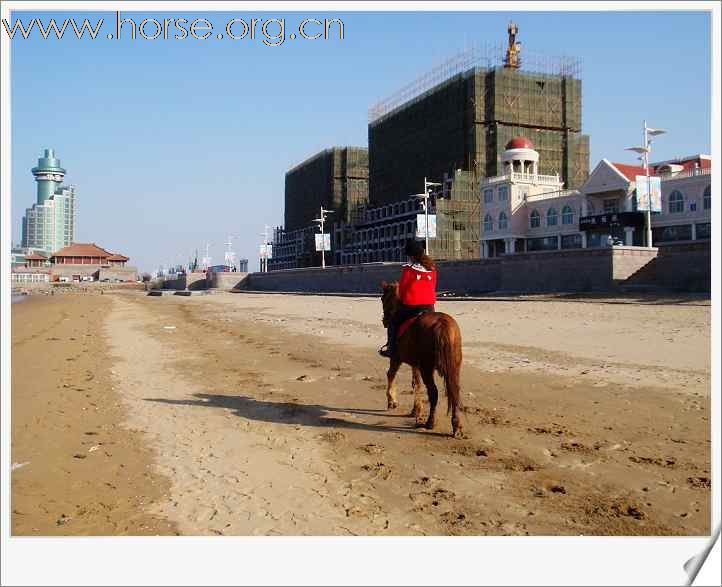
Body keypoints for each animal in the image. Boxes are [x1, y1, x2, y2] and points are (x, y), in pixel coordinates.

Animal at [380, 282, 464, 438]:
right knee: (454, 391)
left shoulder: (396, 358)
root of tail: (442, 323)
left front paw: (392, 401)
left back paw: (430, 422)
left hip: (426, 368)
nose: (385, 321)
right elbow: (416, 383)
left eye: (383, 299)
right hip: (453, 367)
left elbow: (391, 375)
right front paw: (416, 410)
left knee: (434, 393)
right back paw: (457, 426)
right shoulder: (415, 364)